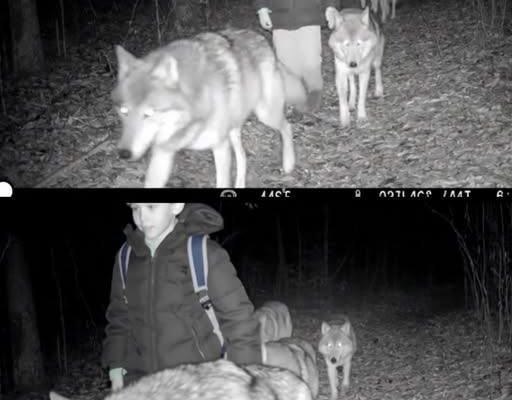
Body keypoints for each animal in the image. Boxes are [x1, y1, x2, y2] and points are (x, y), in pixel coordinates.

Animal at [113, 29, 309, 188]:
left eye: (148, 114)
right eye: (124, 112)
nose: (123, 153)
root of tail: (260, 36)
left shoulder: (220, 146)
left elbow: (222, 182)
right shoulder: (163, 152)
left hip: (265, 115)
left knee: (287, 127)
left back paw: (288, 163)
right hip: (235, 127)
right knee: (243, 156)